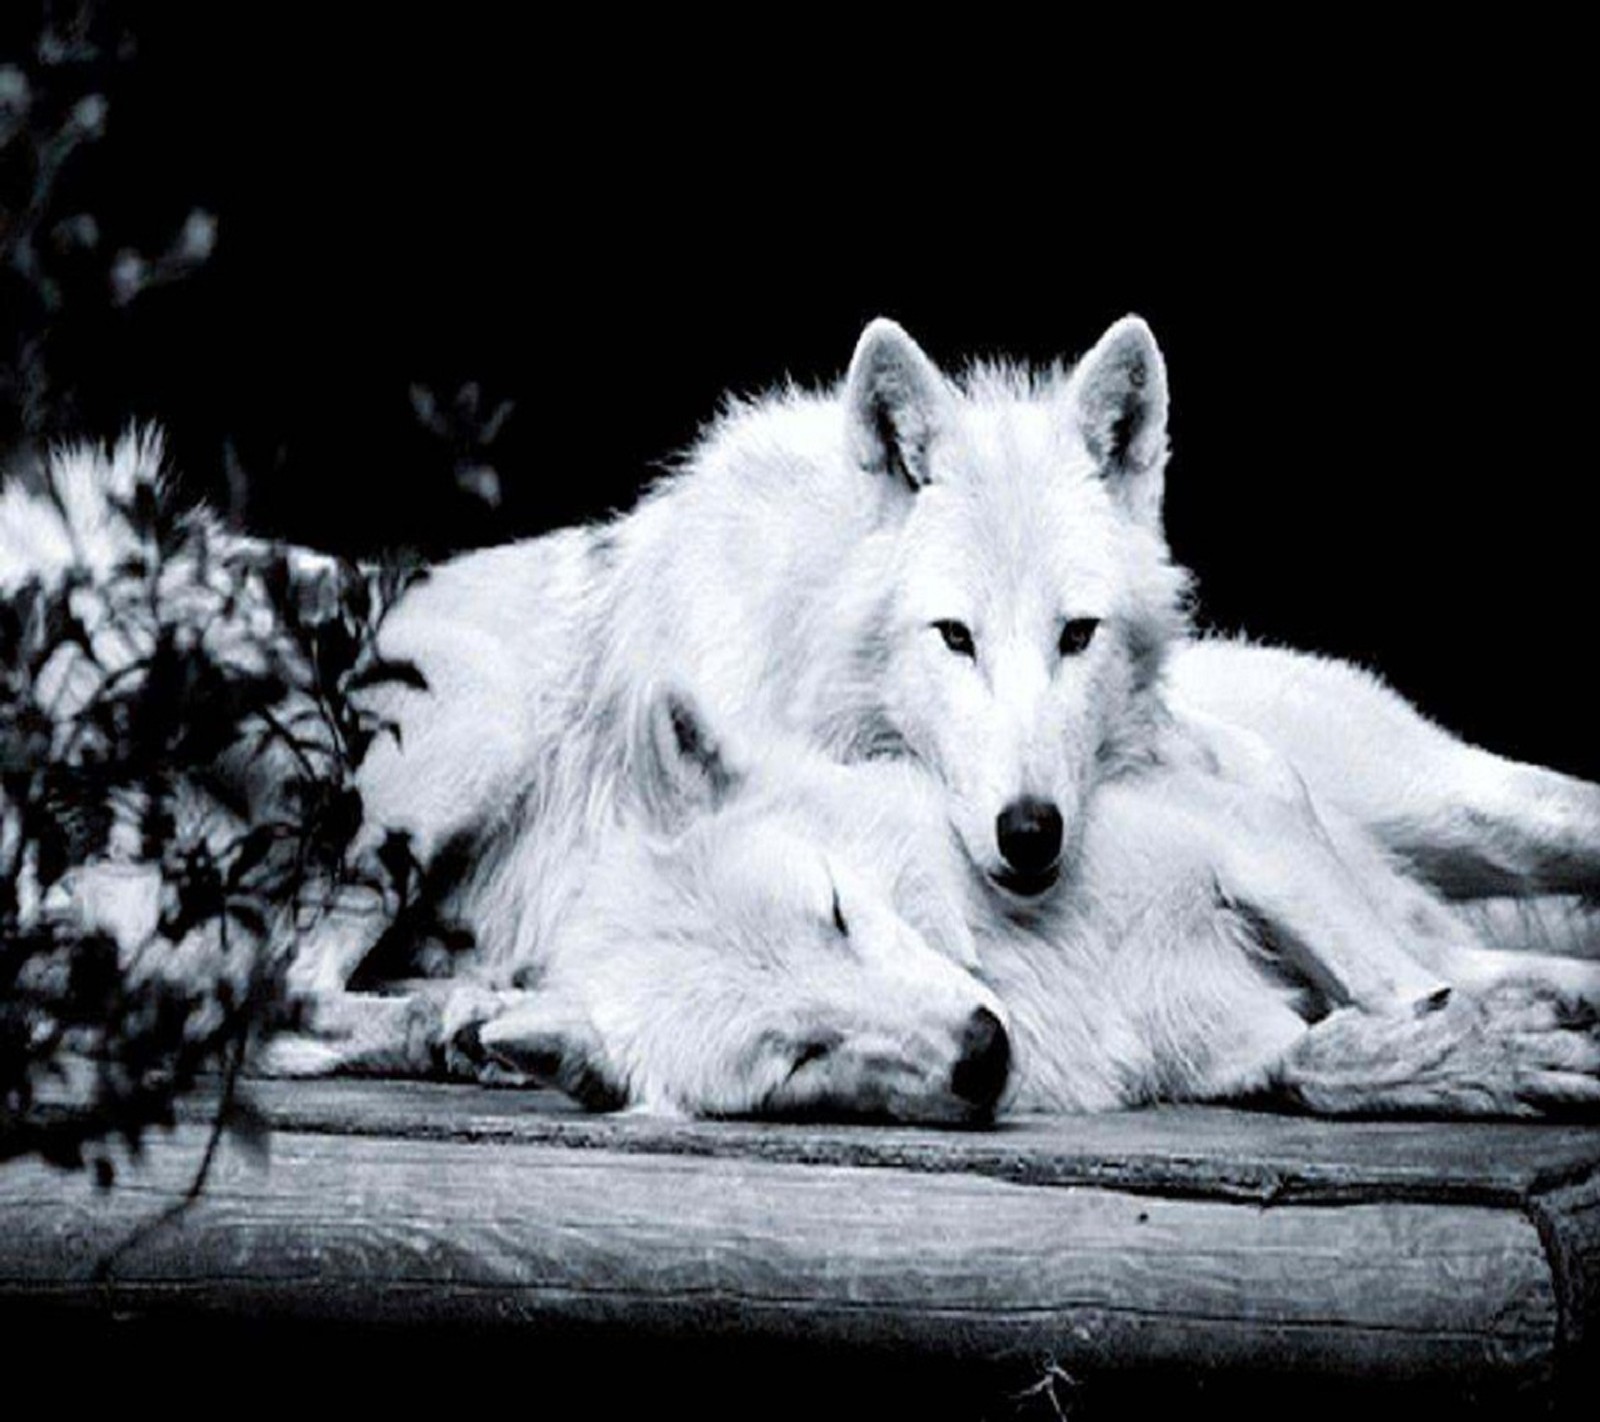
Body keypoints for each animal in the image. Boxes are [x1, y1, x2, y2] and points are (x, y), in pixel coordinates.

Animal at [9, 318, 1600, 1119]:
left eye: (1075, 636)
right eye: (952, 637)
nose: (1033, 834)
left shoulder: (1229, 808)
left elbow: (1376, 954)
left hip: (1451, 799)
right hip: (457, 741)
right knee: (275, 995)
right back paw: (458, 1017)